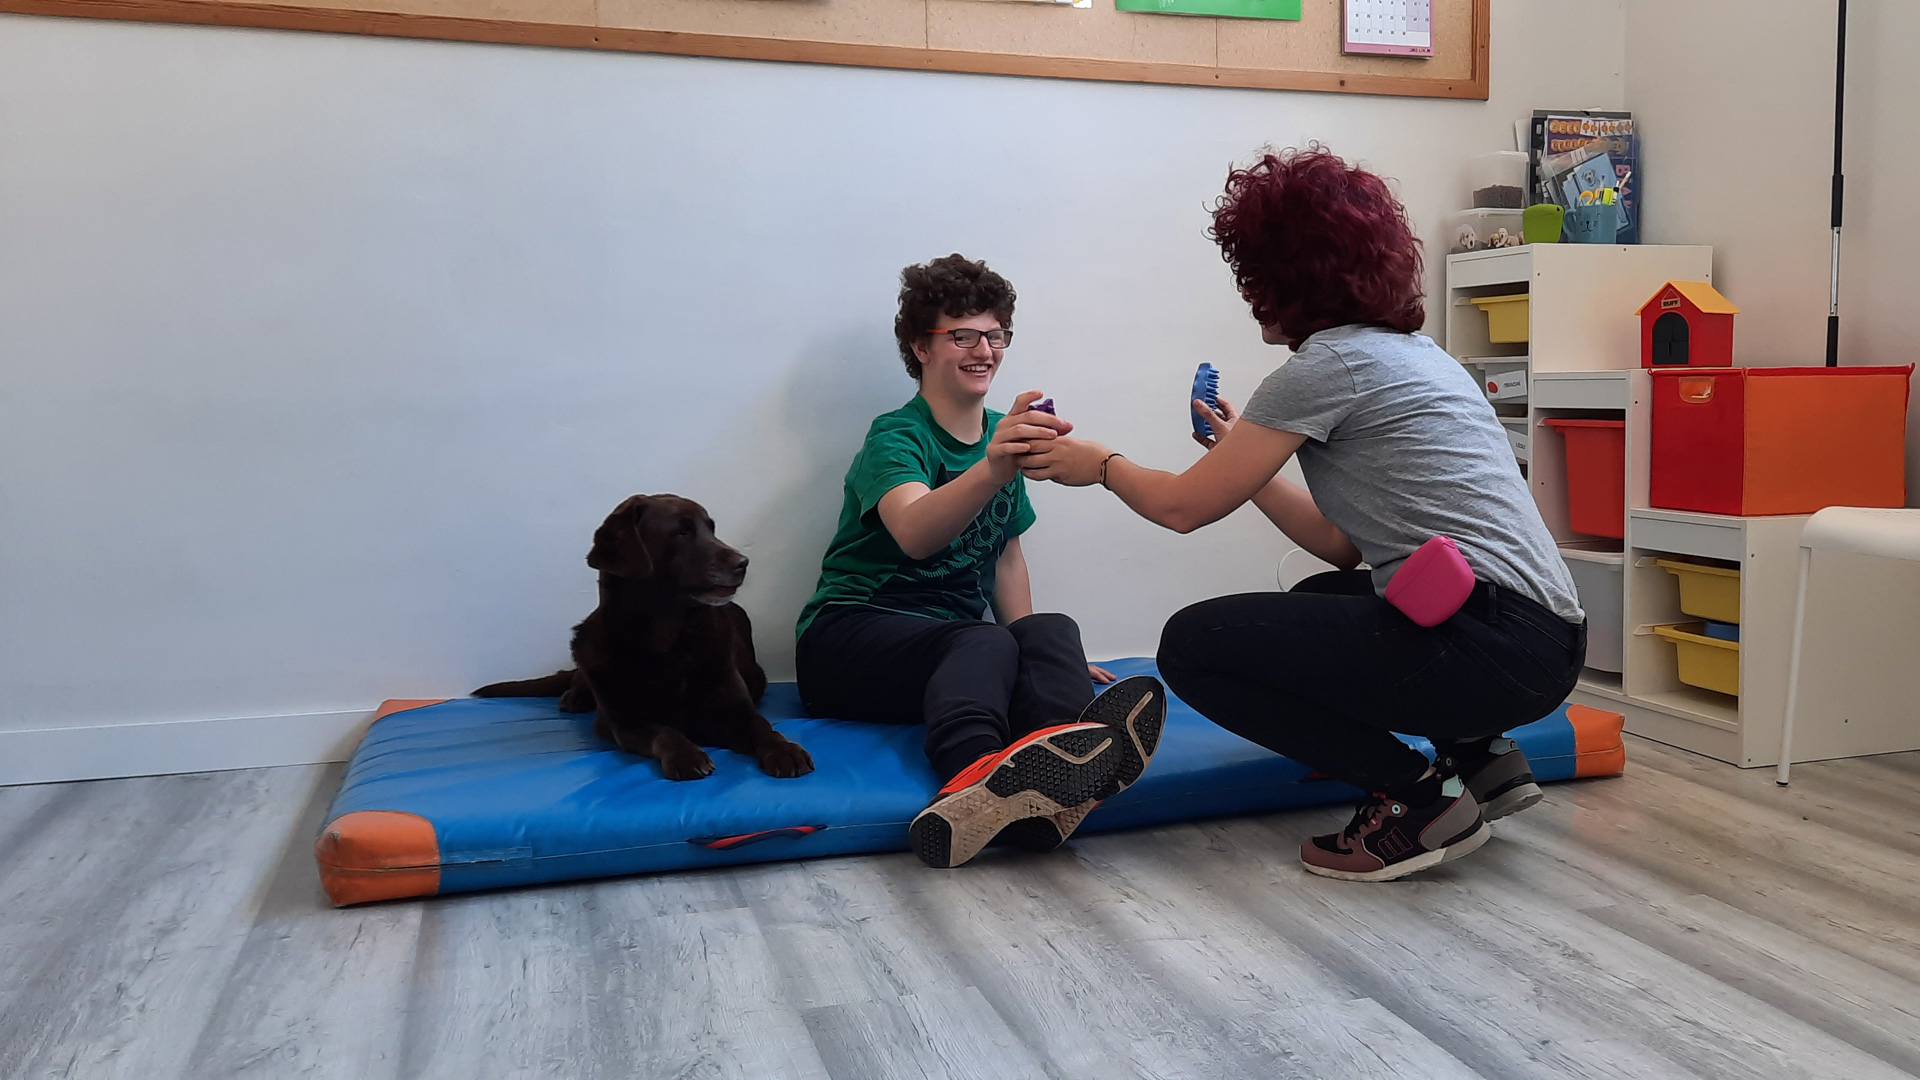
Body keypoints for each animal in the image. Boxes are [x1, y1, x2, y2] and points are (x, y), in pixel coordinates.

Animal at [474, 494, 814, 781]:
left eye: (712, 529)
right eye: (681, 533)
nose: (743, 563)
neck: (667, 643)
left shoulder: (734, 708)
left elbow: (762, 726)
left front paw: (785, 750)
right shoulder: (623, 721)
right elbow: (665, 731)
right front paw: (686, 755)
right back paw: (576, 695)